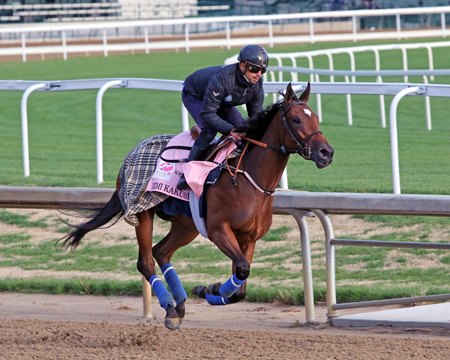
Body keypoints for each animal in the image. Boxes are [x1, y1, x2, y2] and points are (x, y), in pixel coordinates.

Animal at [59, 83, 334, 330]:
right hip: (143, 212)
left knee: (161, 252)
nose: (326, 152)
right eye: (296, 120)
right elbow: (242, 270)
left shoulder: (249, 238)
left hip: (187, 225)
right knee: (146, 262)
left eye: (316, 117)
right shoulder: (218, 230)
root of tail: (131, 154)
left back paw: (179, 305)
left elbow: (241, 285)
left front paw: (208, 289)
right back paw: (170, 308)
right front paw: (210, 289)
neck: (247, 177)